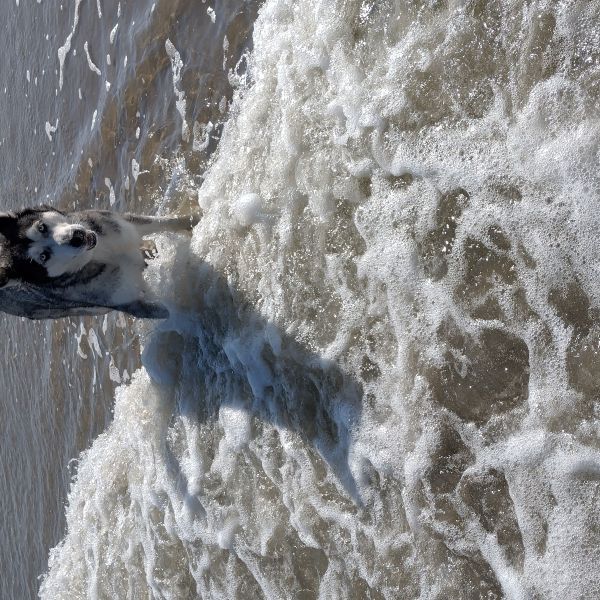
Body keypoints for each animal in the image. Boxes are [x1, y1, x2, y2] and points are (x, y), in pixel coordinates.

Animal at [0, 206, 199, 318]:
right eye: (43, 256)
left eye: (42, 227)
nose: (76, 238)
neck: (102, 252)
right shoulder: (129, 301)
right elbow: (165, 311)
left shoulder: (121, 224)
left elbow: (169, 222)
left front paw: (199, 215)